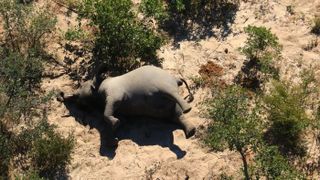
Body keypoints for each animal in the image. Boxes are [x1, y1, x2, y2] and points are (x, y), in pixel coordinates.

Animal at [58, 65, 196, 146]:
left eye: (82, 86)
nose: (61, 94)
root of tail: (176, 79)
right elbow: (116, 119)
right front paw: (114, 138)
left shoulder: (114, 94)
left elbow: (106, 113)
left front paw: (115, 125)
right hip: (166, 107)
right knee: (176, 116)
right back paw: (191, 132)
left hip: (164, 83)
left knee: (171, 93)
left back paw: (188, 109)